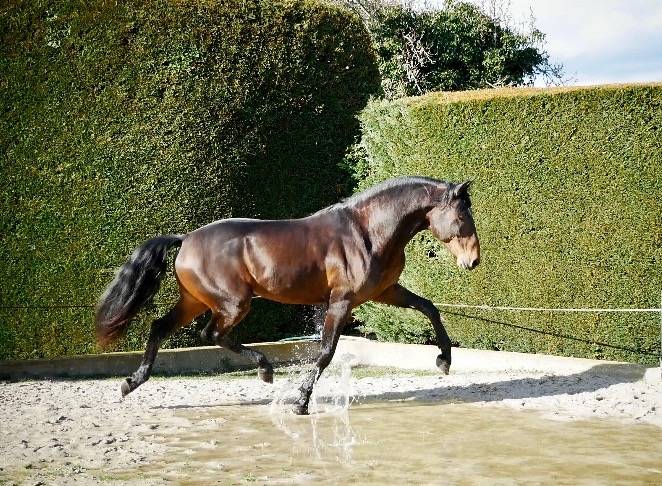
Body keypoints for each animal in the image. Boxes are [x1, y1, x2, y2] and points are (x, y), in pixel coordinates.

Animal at [96, 176, 480, 414]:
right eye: (463, 216)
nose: (473, 261)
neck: (368, 232)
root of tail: (186, 238)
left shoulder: (386, 292)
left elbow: (430, 308)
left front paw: (444, 360)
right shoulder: (341, 303)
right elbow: (325, 353)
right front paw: (300, 402)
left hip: (196, 301)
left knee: (160, 327)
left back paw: (130, 383)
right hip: (233, 304)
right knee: (211, 333)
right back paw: (265, 370)